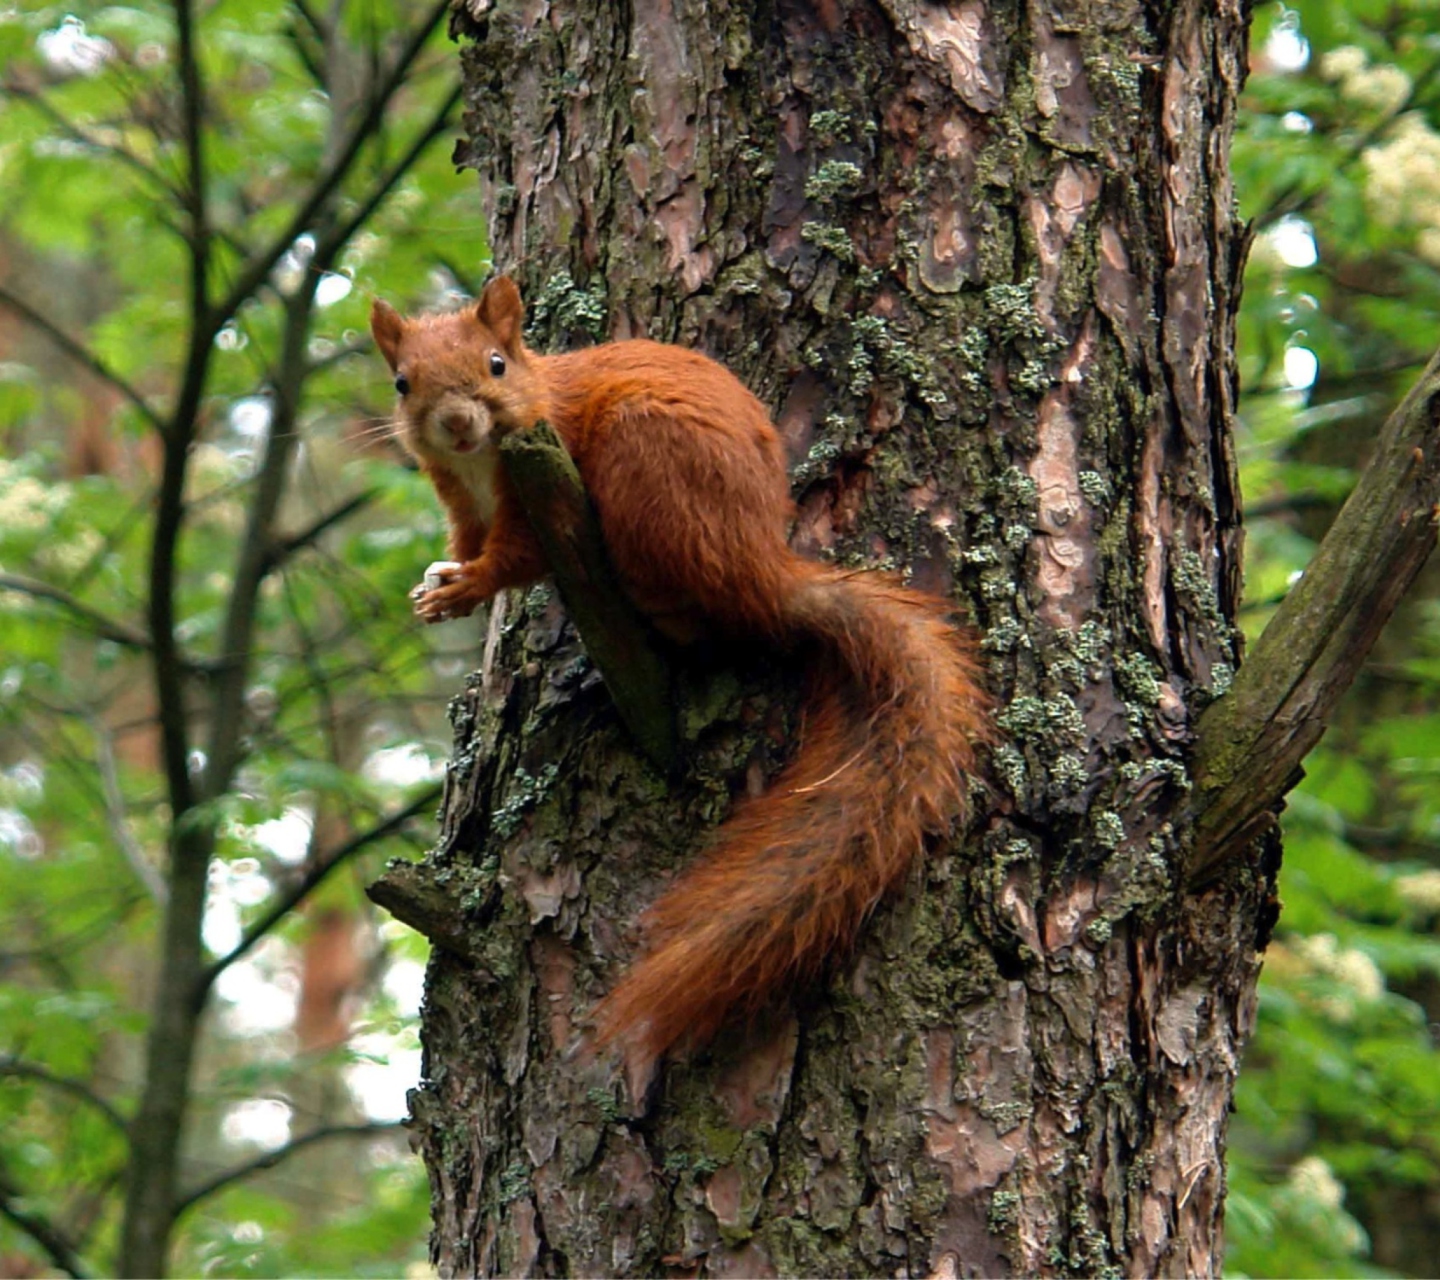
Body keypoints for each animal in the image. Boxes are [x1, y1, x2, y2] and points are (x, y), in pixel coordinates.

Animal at [368, 277, 990, 1071]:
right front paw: (441, 589)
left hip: (647, 465)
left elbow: (513, 558)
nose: (454, 423)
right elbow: (468, 543)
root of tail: (766, 573)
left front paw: (463, 588)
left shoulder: (537, 490)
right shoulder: (459, 500)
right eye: (401, 381)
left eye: (497, 363)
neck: (483, 462)